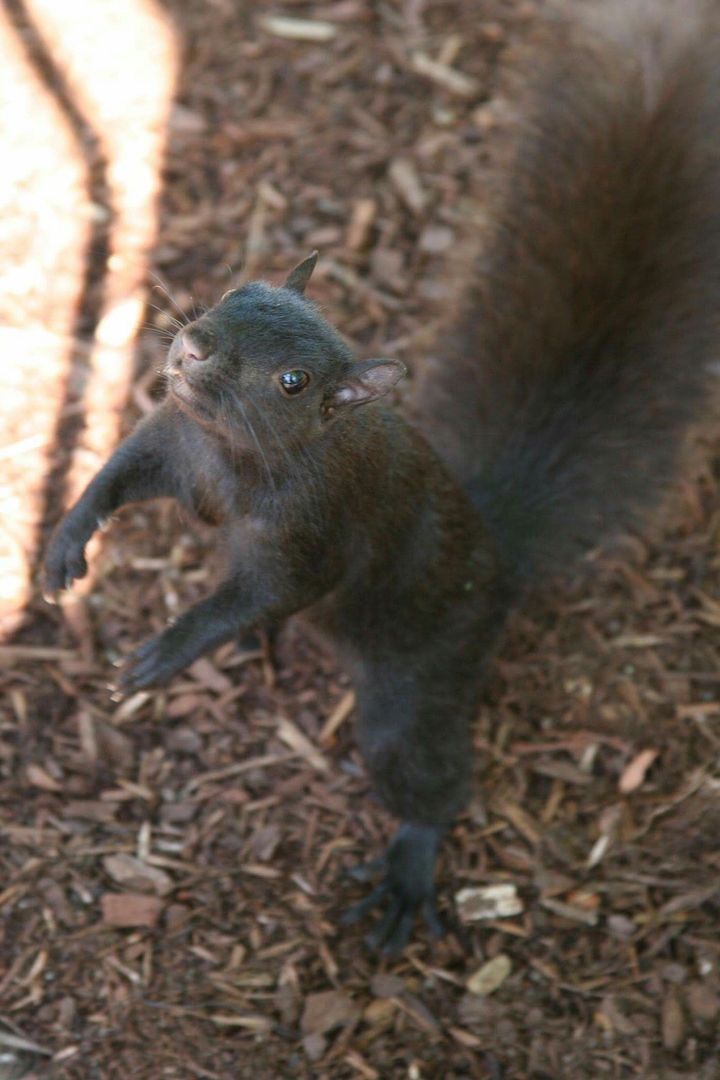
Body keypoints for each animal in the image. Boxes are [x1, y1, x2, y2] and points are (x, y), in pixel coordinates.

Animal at [43, 0, 720, 954]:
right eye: (236, 289)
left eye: (294, 382)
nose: (193, 345)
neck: (232, 451)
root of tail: (500, 559)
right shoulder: (170, 440)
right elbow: (115, 476)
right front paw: (67, 545)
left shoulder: (317, 533)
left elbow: (265, 590)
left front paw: (162, 653)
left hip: (418, 682)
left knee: (428, 780)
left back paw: (408, 869)